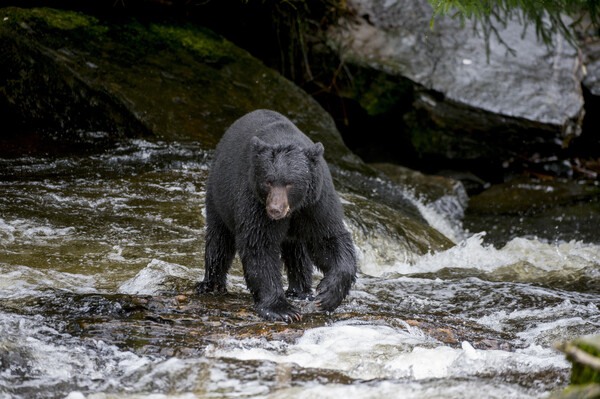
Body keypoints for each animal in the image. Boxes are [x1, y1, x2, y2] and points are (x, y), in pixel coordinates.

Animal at [199, 108, 356, 322]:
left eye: (290, 183)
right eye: (268, 181)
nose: (274, 209)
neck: (294, 208)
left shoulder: (316, 202)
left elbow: (328, 239)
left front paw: (327, 294)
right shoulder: (254, 200)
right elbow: (259, 244)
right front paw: (282, 309)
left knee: (298, 253)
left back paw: (300, 290)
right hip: (219, 195)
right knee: (219, 240)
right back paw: (212, 284)